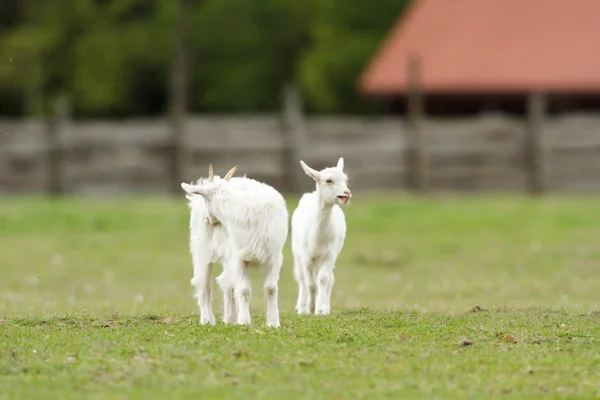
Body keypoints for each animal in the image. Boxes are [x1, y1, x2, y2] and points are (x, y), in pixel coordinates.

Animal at [180, 166, 288, 328]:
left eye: (205, 198)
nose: (209, 219)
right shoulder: (239, 258)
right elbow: (244, 290)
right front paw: (244, 321)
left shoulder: (274, 257)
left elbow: (271, 289)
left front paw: (273, 322)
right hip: (202, 249)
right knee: (204, 285)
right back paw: (207, 320)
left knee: (227, 284)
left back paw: (230, 318)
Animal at [290, 157, 352, 316]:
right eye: (328, 180)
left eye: (345, 179)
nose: (347, 193)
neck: (318, 238)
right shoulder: (306, 256)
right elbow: (311, 283)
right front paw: (310, 307)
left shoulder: (330, 253)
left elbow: (324, 279)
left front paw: (321, 309)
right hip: (297, 252)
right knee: (301, 278)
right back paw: (301, 306)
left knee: (330, 278)